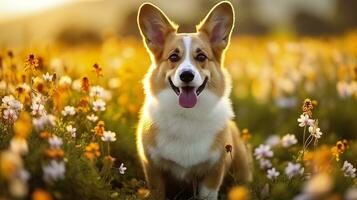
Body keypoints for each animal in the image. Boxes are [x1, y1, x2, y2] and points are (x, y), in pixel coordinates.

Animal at [135, 1, 252, 198]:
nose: (187, 75)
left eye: (201, 56)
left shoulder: (214, 171)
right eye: (174, 57)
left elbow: (207, 194)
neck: (187, 116)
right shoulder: (153, 168)